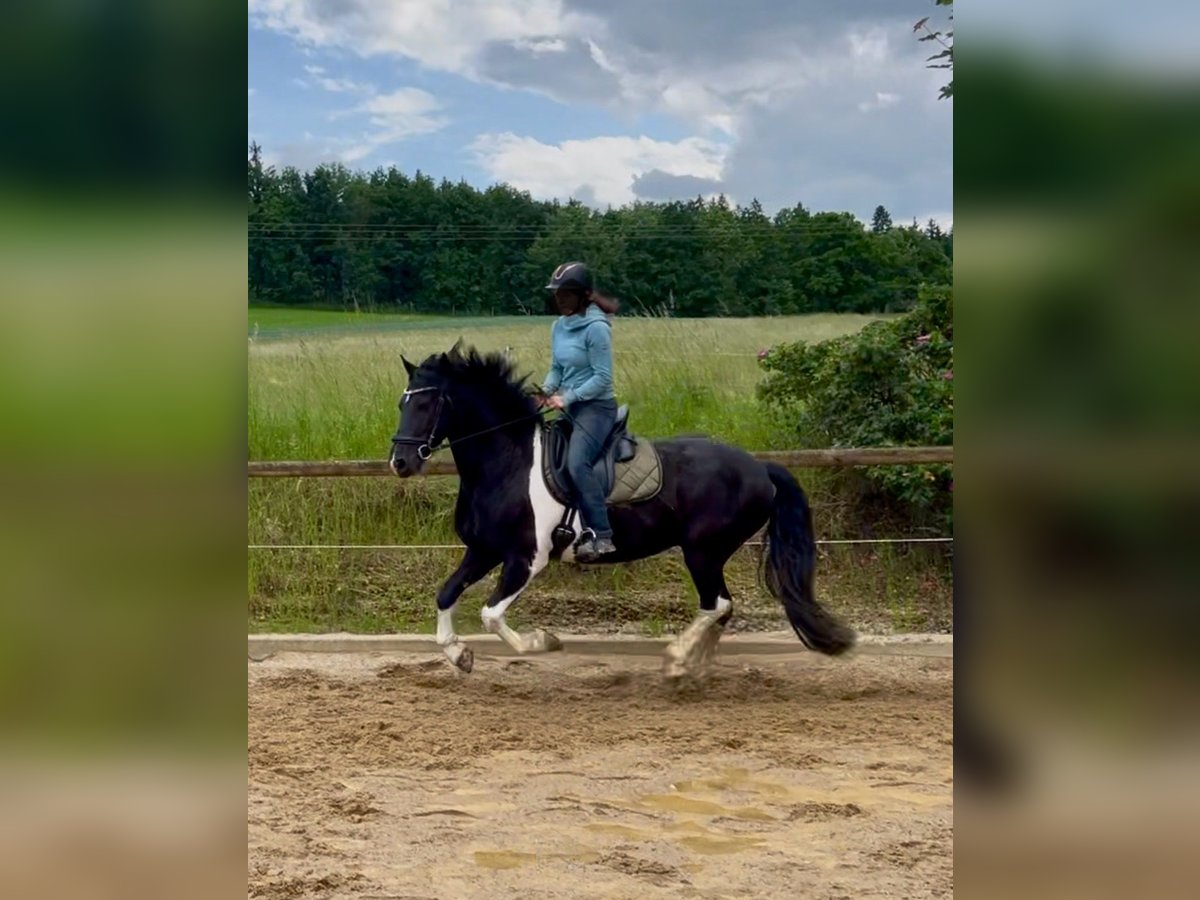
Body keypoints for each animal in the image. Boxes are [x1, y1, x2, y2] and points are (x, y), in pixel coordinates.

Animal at [388, 343, 855, 677]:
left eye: (428, 404)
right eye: (402, 403)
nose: (401, 463)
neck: (508, 463)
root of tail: (760, 467)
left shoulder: (525, 559)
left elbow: (490, 614)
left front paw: (545, 641)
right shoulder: (483, 550)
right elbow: (446, 594)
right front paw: (458, 655)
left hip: (703, 551)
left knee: (717, 605)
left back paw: (678, 661)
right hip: (707, 553)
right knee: (721, 609)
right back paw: (695, 666)